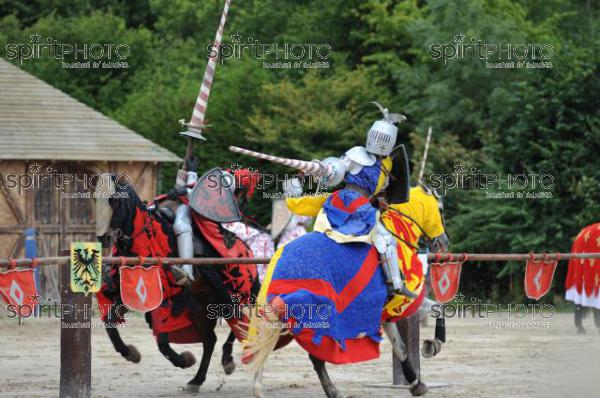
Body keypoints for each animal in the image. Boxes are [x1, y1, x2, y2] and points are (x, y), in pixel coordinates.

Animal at [94, 174, 258, 392]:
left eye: (114, 200)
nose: (104, 237)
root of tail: (246, 248)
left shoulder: (168, 299)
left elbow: (162, 340)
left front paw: (184, 360)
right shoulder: (130, 295)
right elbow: (110, 323)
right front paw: (130, 353)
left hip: (235, 291)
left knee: (239, 320)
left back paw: (227, 359)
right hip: (203, 305)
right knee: (210, 339)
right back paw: (197, 380)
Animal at [245, 186, 450, 398]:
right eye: (440, 209)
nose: (444, 242)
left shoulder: (384, 314)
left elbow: (400, 347)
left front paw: (416, 383)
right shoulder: (408, 302)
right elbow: (439, 308)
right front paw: (433, 345)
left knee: (266, 346)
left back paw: (260, 389)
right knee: (313, 356)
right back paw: (333, 391)